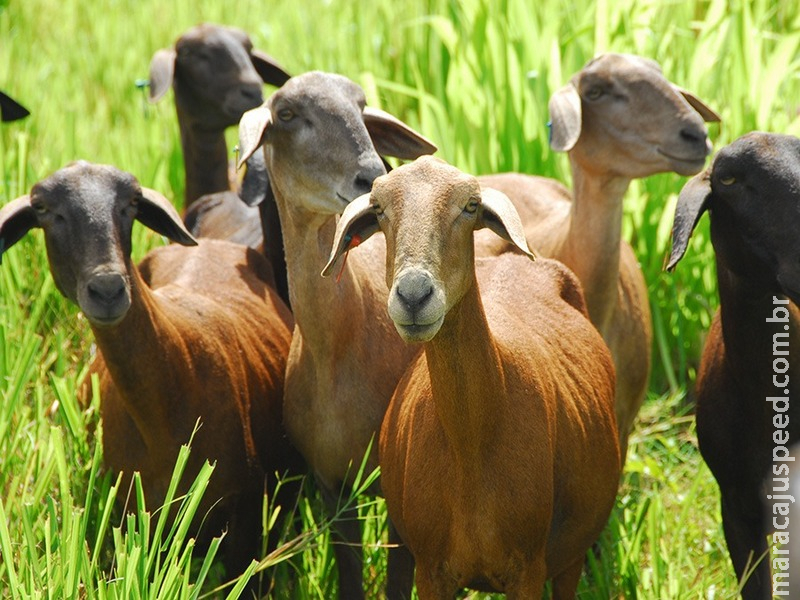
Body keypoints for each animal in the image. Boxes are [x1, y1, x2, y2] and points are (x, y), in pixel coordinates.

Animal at [238, 71, 438, 600]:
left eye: (362, 107)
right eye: (287, 114)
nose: (374, 176)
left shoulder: (400, 488)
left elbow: (398, 581)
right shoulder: (331, 483)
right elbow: (349, 572)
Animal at [322, 156, 620, 600]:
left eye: (470, 206)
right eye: (378, 209)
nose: (414, 296)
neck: (473, 444)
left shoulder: (528, 572)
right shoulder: (431, 571)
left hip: (572, 555)